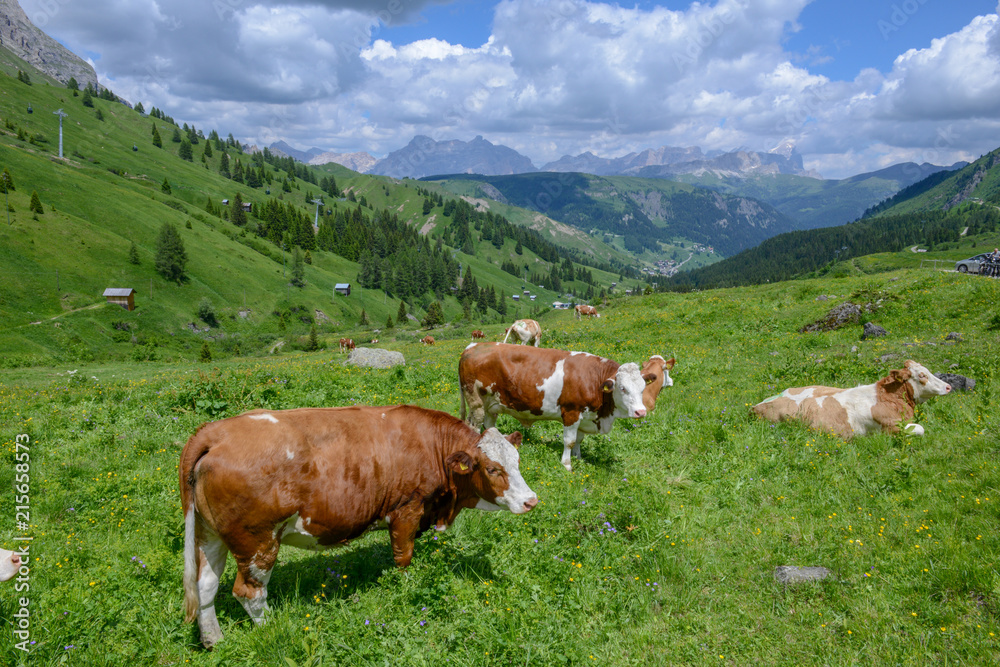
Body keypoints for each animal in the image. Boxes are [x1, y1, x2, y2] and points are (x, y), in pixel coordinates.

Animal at [180, 404, 540, 648]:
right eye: (492, 469)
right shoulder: (407, 510)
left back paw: (214, 640)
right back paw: (272, 628)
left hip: (209, 535)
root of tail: (215, 432)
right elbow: (403, 559)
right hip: (257, 540)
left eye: (517, 461)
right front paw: (407, 590)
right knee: (249, 591)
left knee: (206, 585)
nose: (531, 500)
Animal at [458, 342, 652, 472]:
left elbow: (579, 440)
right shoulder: (571, 412)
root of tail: (473, 346)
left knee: (489, 426)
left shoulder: (584, 417)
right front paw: (567, 464)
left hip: (492, 405)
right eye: (623, 388)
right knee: (473, 426)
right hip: (476, 403)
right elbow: (569, 440)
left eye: (643, 388)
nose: (641, 412)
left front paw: (578, 457)